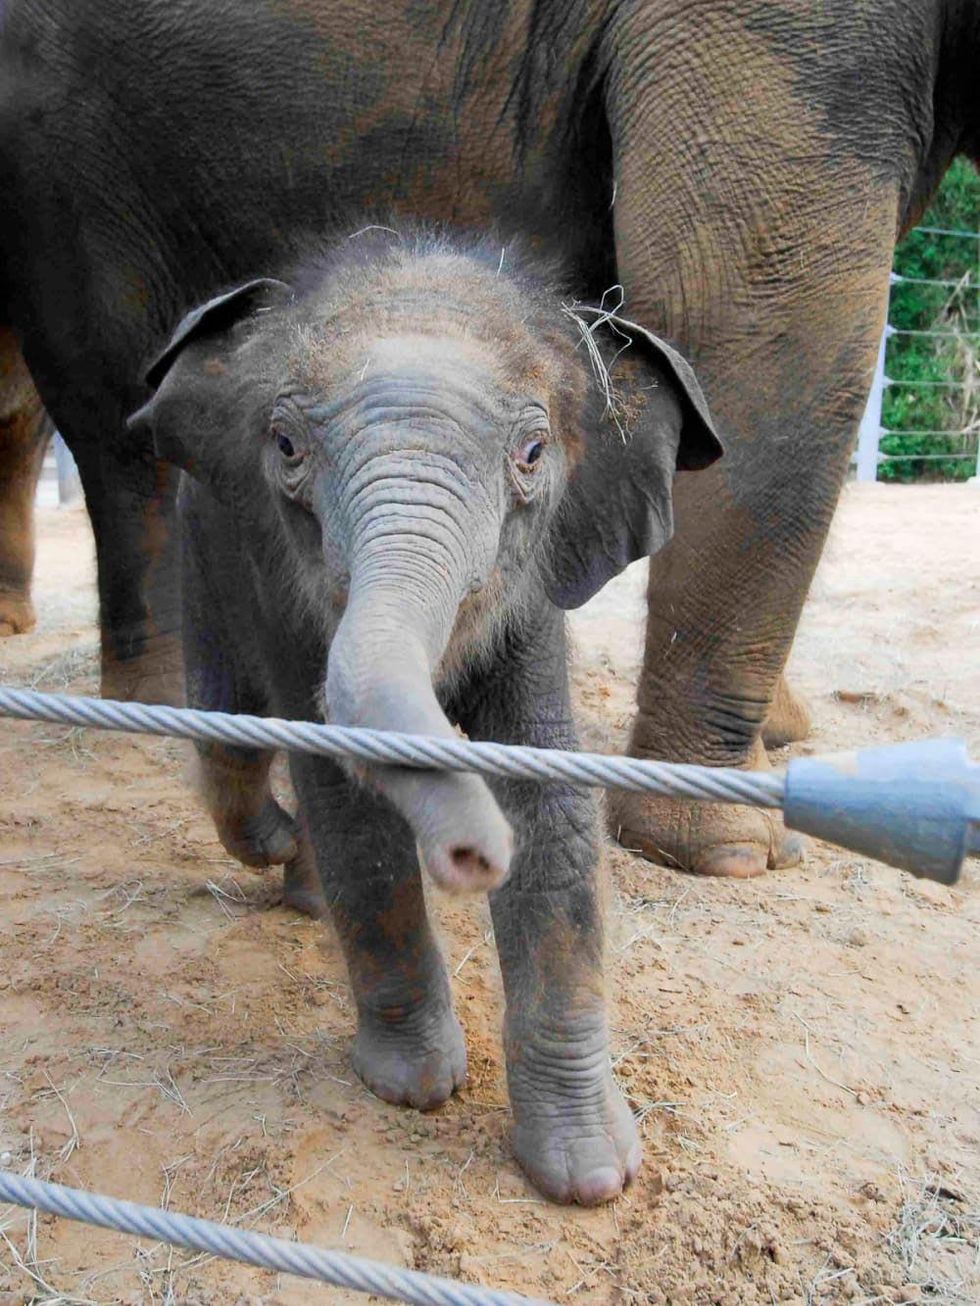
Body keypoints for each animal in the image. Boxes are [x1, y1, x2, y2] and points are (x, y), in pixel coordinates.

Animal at [0, 0, 976, 874]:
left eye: (535, 456)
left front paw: (784, 739)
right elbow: (760, 316)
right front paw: (730, 852)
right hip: (70, 149)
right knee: (114, 397)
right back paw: (155, 708)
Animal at [127, 228, 722, 1203]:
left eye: (533, 453)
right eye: (284, 444)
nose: (470, 854)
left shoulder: (534, 595)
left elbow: (551, 802)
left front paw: (590, 1176)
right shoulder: (281, 587)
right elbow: (347, 801)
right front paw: (414, 1086)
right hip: (204, 554)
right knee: (230, 742)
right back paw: (283, 850)